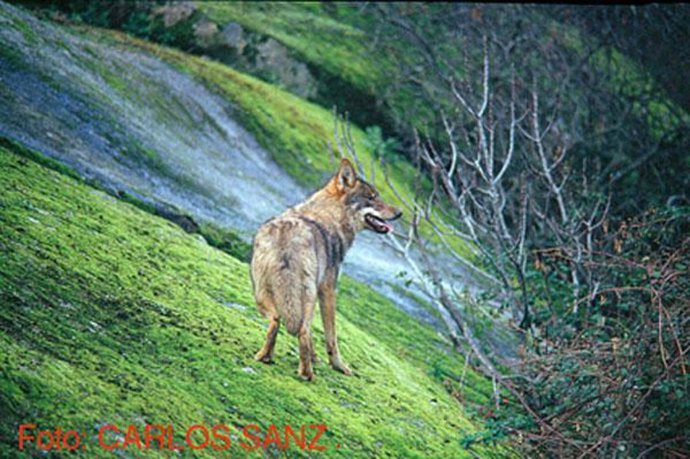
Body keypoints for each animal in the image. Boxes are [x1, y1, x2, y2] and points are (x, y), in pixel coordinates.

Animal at [250, 158, 402, 380]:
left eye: (377, 196)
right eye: (371, 198)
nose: (400, 213)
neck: (329, 216)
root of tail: (286, 240)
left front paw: (315, 358)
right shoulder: (329, 290)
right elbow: (331, 336)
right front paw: (339, 366)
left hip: (262, 295)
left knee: (278, 321)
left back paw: (264, 357)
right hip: (307, 295)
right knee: (303, 330)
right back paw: (306, 374)